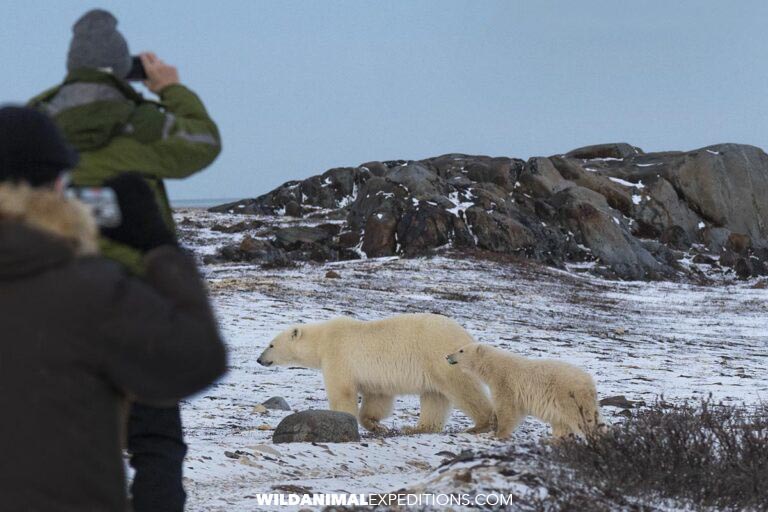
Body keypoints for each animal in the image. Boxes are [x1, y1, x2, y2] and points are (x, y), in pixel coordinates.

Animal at [257, 313, 494, 434]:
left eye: (271, 344)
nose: (259, 359)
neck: (322, 339)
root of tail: (467, 337)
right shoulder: (376, 379)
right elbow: (377, 398)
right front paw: (375, 425)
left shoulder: (338, 355)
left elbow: (342, 391)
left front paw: (347, 419)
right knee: (434, 397)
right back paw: (417, 427)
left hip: (442, 357)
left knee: (462, 388)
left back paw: (482, 423)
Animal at [446, 343, 602, 439]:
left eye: (461, 350)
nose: (447, 356)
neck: (493, 366)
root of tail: (590, 383)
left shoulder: (504, 382)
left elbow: (507, 407)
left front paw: (498, 433)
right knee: (561, 423)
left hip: (568, 396)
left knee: (582, 419)